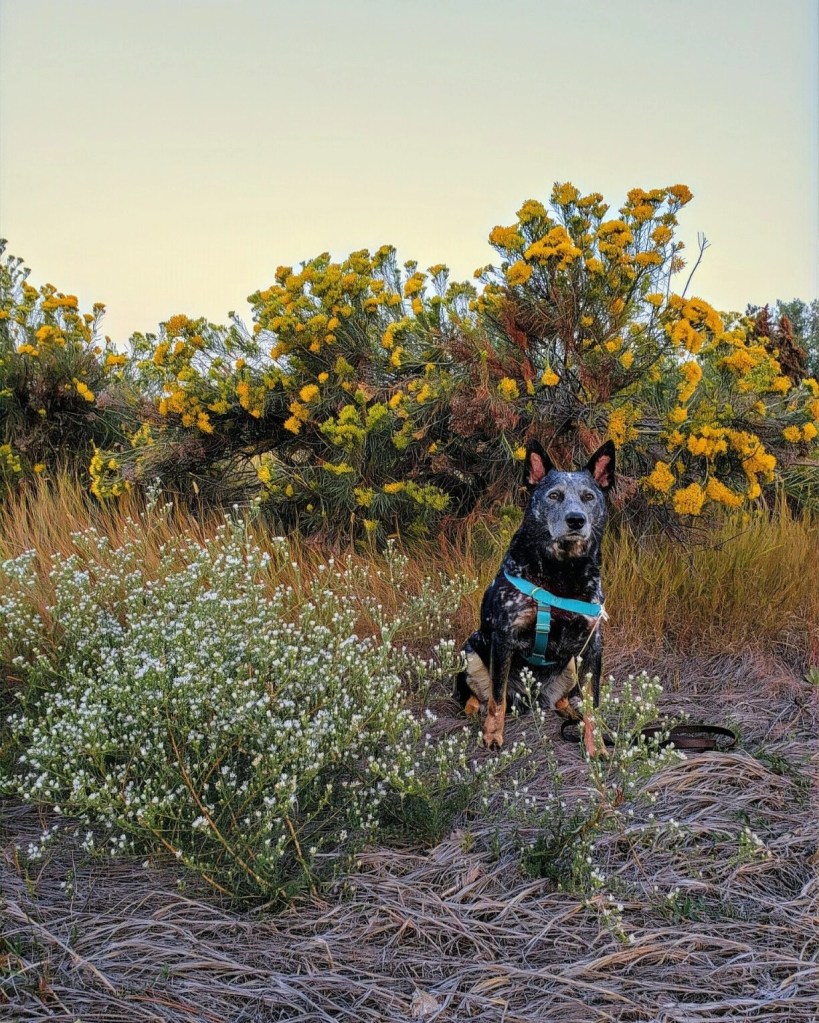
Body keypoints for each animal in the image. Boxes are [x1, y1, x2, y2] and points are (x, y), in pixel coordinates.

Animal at [455, 439, 615, 755]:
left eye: (588, 497)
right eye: (554, 495)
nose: (576, 520)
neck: (562, 573)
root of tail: (532, 698)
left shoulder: (593, 647)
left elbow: (594, 704)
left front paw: (597, 746)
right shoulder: (504, 637)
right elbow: (497, 699)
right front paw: (493, 736)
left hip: (570, 666)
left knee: (565, 698)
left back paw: (571, 711)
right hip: (471, 653)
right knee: (482, 696)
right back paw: (474, 711)